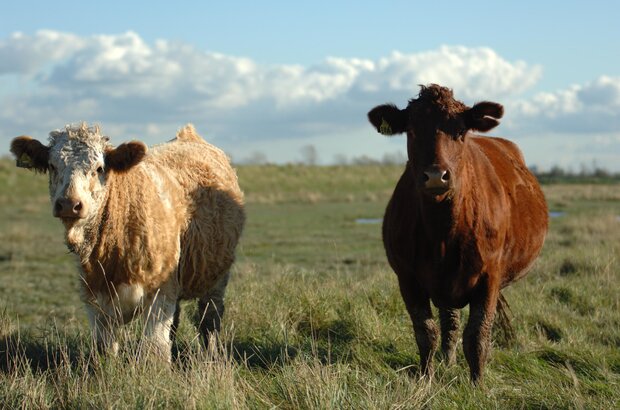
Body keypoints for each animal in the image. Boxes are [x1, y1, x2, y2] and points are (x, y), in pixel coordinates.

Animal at [10, 123, 245, 360]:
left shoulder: (160, 292)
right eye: (52, 165)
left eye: (99, 168)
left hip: (217, 276)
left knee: (210, 319)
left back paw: (212, 356)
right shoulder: (94, 296)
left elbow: (155, 349)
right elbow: (104, 350)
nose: (69, 204)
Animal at [368, 85, 548, 382]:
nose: (435, 176)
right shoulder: (407, 278)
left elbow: (476, 336)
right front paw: (426, 379)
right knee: (449, 322)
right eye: (412, 130)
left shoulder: (489, 276)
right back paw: (448, 362)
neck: (442, 232)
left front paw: (477, 384)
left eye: (461, 130)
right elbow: (426, 332)